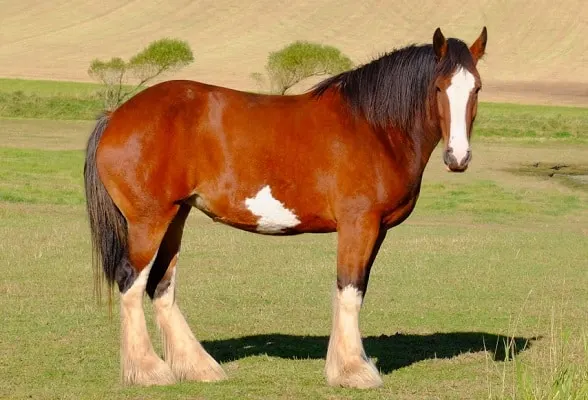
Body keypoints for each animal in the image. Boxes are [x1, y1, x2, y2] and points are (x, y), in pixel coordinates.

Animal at [82, 27, 486, 388]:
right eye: (439, 87)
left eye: (477, 88)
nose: (458, 157)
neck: (374, 127)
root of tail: (116, 115)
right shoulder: (358, 224)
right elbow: (349, 289)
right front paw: (353, 371)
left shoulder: (378, 229)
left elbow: (356, 289)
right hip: (149, 220)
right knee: (132, 282)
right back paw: (149, 372)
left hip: (176, 216)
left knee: (162, 286)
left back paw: (198, 368)